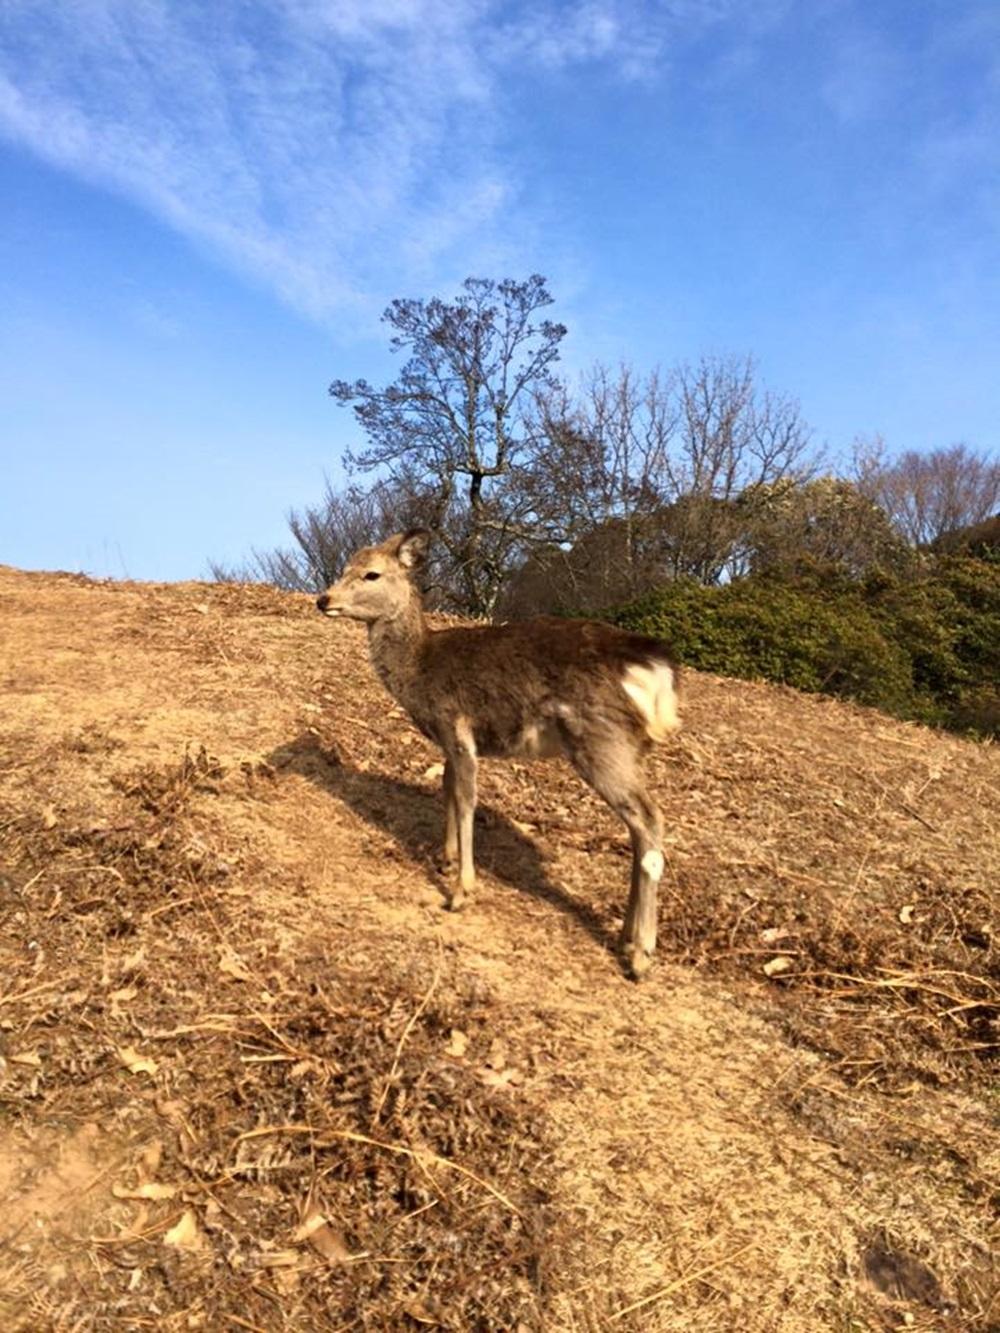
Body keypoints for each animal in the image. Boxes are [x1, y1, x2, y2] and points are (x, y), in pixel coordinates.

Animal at [316, 529, 680, 979]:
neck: (419, 670)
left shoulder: (458, 727)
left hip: (601, 741)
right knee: (638, 828)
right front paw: (446, 859)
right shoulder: (447, 741)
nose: (324, 599)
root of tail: (656, 671)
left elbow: (467, 799)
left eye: (371, 574)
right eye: (346, 565)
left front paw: (460, 892)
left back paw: (641, 955)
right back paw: (627, 937)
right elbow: (447, 789)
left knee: (649, 818)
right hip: (627, 748)